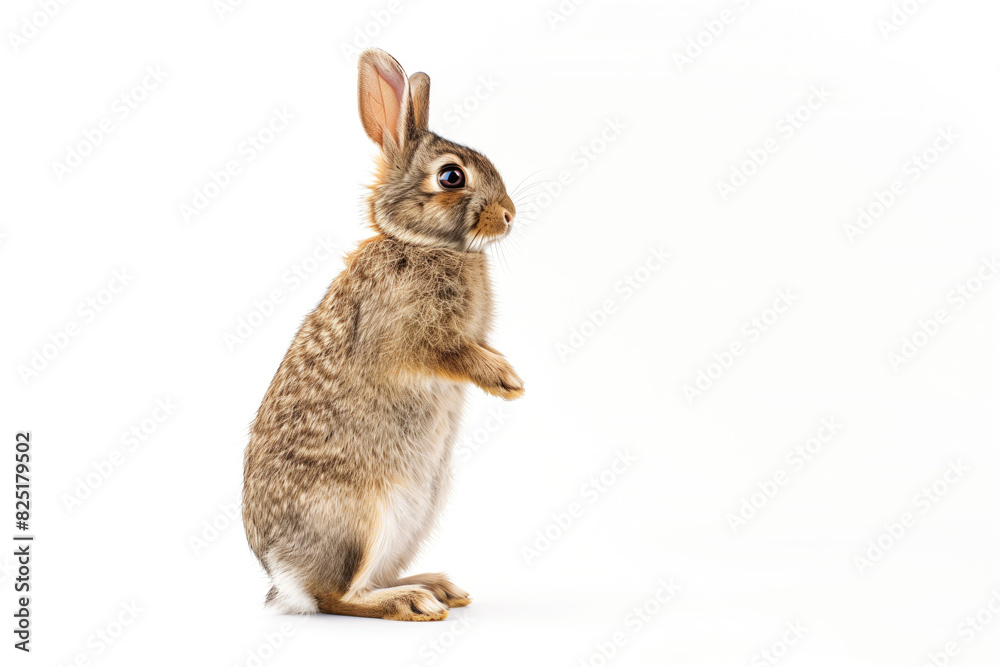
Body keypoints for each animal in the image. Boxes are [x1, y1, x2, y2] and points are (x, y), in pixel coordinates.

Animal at [242, 48, 523, 621]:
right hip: (367, 515)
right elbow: (454, 354)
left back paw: (437, 587)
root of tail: (284, 577)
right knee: (337, 597)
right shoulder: (415, 337)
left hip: (415, 516)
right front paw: (506, 380)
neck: (421, 244)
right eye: (451, 176)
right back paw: (411, 602)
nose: (509, 216)